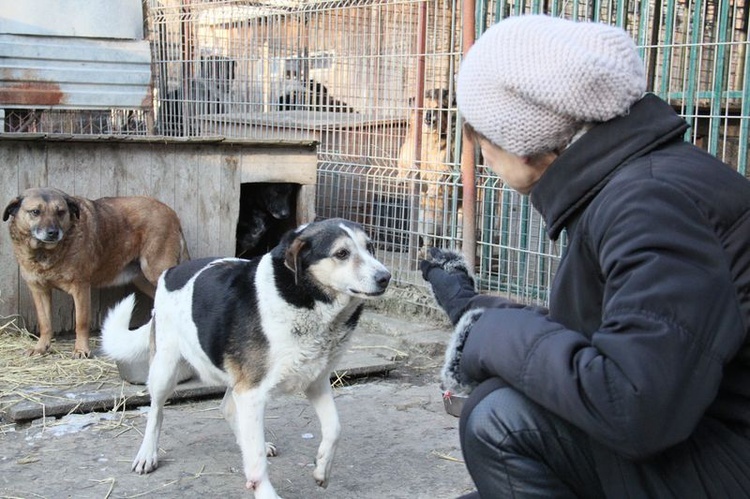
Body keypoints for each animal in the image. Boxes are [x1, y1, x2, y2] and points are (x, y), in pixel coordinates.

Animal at [4, 187, 191, 356]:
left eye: (61, 212)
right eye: (35, 212)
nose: (53, 233)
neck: (45, 253)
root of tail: (171, 212)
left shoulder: (80, 288)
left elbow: (81, 322)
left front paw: (81, 350)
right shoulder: (39, 289)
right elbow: (45, 323)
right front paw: (41, 347)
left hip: (155, 270)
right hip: (144, 279)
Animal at [101, 220, 394, 499]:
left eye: (370, 247)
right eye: (342, 253)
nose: (386, 277)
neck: (304, 299)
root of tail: (171, 272)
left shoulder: (315, 381)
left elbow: (334, 428)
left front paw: (322, 469)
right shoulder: (252, 392)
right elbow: (256, 462)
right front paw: (266, 493)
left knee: (228, 409)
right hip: (165, 368)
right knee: (156, 412)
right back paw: (147, 454)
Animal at [396, 89, 462, 249]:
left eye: (440, 107)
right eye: (424, 105)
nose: (429, 114)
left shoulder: (443, 162)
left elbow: (438, 175)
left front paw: (433, 189)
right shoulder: (407, 153)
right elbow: (406, 166)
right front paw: (401, 177)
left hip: (459, 220)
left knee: (455, 241)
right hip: (424, 221)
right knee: (428, 240)